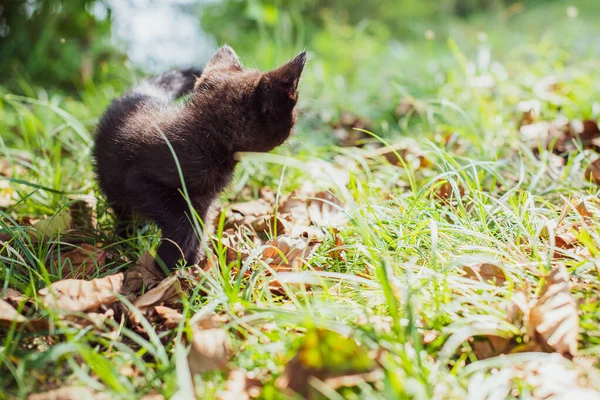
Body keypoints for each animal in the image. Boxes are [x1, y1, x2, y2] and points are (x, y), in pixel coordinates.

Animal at [95, 47, 308, 270]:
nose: (293, 127)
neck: (209, 137)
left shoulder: (204, 200)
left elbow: (199, 226)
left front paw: (192, 265)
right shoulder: (141, 181)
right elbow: (181, 223)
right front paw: (167, 266)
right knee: (125, 215)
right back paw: (126, 241)